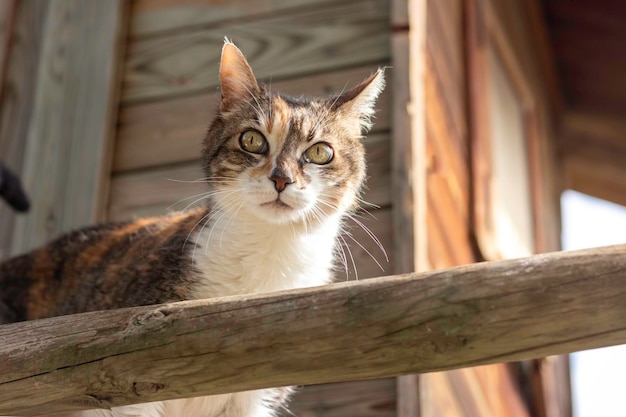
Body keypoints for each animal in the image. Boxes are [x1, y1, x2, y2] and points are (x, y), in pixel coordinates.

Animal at [0, 39, 386, 416]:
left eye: (320, 152)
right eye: (252, 140)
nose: (282, 179)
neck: (267, 256)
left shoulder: (257, 398)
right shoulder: (126, 385)